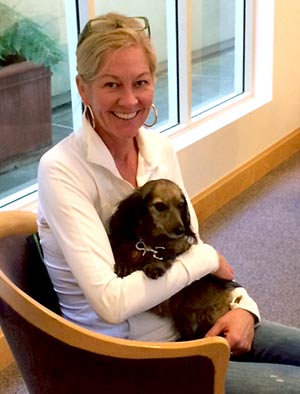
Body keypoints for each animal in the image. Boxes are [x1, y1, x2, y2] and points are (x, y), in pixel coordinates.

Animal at [109, 179, 239, 338]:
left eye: (181, 205)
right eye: (160, 206)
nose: (180, 230)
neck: (151, 240)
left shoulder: (180, 246)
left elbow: (168, 252)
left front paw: (155, 264)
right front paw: (124, 265)